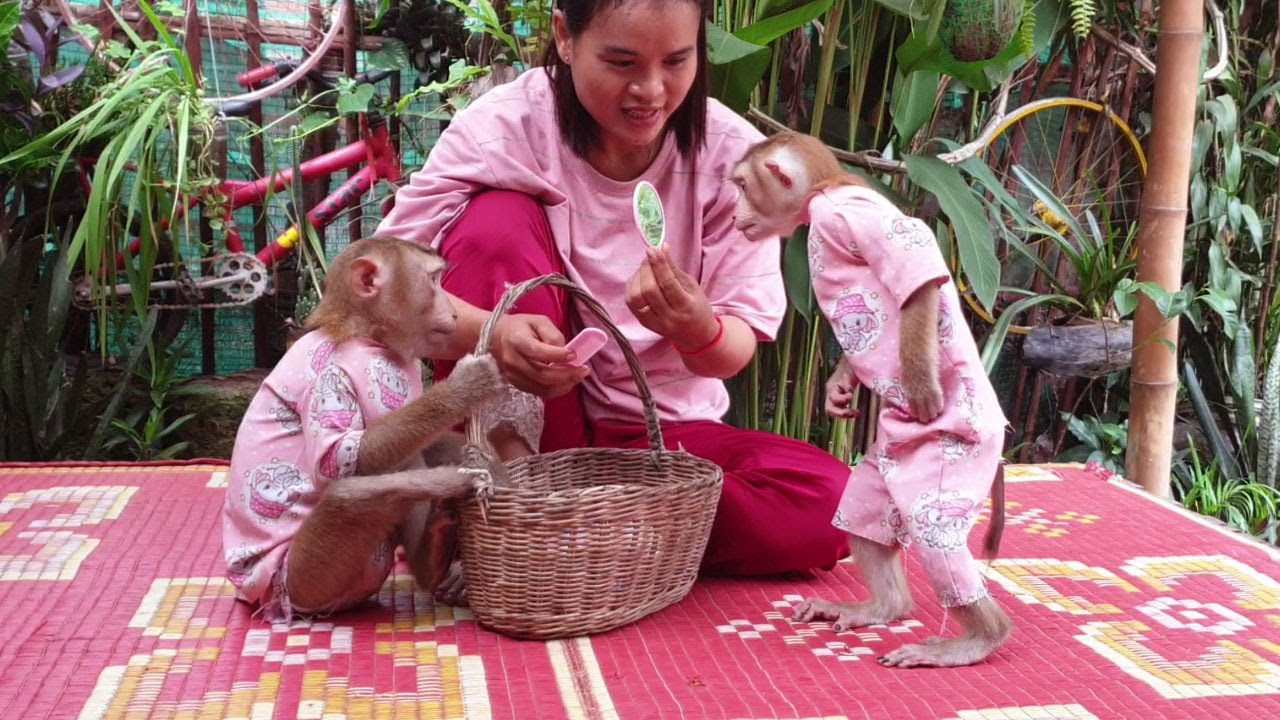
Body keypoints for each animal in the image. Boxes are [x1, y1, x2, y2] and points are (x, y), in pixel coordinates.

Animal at [221, 235, 518, 621]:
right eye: (434, 281)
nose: (454, 309)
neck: (365, 333)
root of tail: (255, 597)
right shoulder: (329, 377)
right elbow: (341, 459)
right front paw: (465, 388)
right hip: (303, 581)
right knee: (349, 495)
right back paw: (451, 484)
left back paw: (433, 555)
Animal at [731, 131, 1013, 668]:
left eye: (740, 185)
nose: (733, 213)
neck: (824, 190)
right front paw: (840, 386)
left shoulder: (845, 215)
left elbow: (920, 281)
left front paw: (923, 391)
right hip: (887, 459)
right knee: (864, 511)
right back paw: (885, 606)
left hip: (955, 458)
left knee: (936, 538)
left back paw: (980, 638)